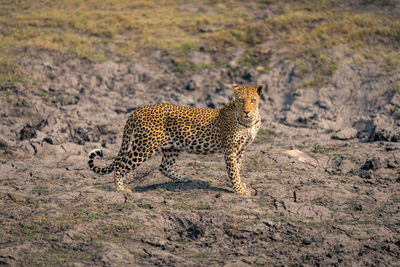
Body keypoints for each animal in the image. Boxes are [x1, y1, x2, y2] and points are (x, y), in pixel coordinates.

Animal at [88, 84, 262, 197]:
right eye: (241, 100)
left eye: (253, 100)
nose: (246, 112)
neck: (249, 122)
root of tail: (138, 110)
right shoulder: (230, 149)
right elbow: (233, 170)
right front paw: (240, 190)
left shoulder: (241, 149)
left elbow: (237, 167)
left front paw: (239, 185)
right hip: (144, 147)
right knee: (120, 165)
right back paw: (120, 189)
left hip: (172, 147)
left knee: (163, 166)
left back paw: (184, 178)